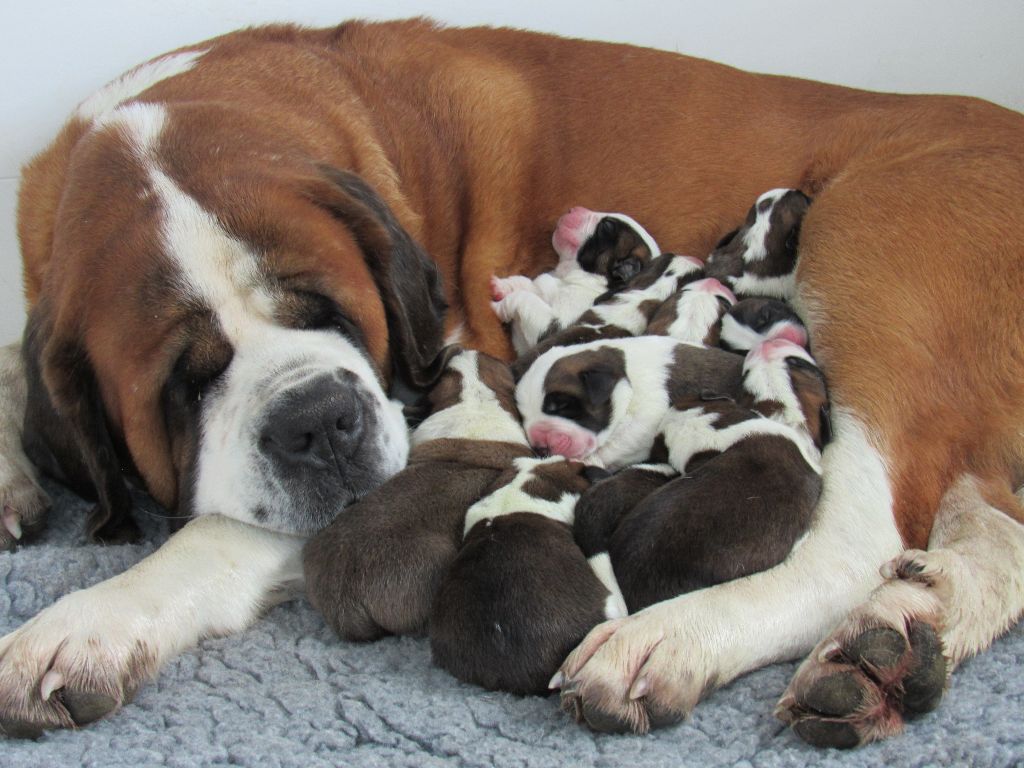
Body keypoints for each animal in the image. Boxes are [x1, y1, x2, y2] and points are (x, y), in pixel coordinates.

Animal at [493, 208, 659, 356]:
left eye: (606, 227)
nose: (572, 209)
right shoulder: (543, 289)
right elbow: (527, 284)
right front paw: (501, 286)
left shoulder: (552, 326)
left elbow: (524, 298)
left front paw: (499, 307)